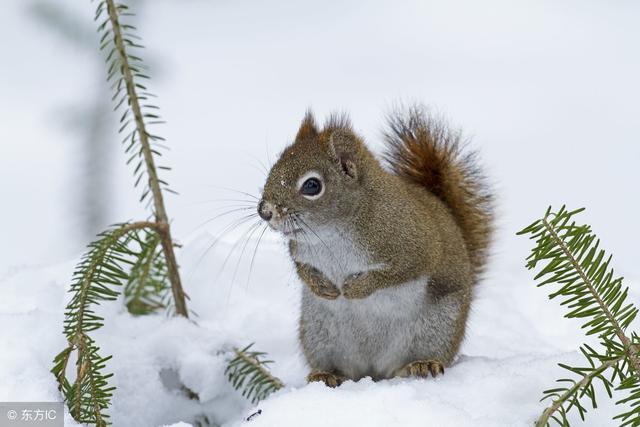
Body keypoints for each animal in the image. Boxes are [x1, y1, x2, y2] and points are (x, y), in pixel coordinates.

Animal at [256, 105, 496, 386]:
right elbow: (302, 268)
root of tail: (375, 370)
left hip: (438, 327)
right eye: (274, 168)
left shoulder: (415, 246)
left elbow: (396, 273)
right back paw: (327, 374)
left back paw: (421, 365)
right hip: (320, 335)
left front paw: (354, 288)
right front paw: (322, 287)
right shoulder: (301, 251)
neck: (332, 232)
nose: (265, 211)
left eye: (312, 185)